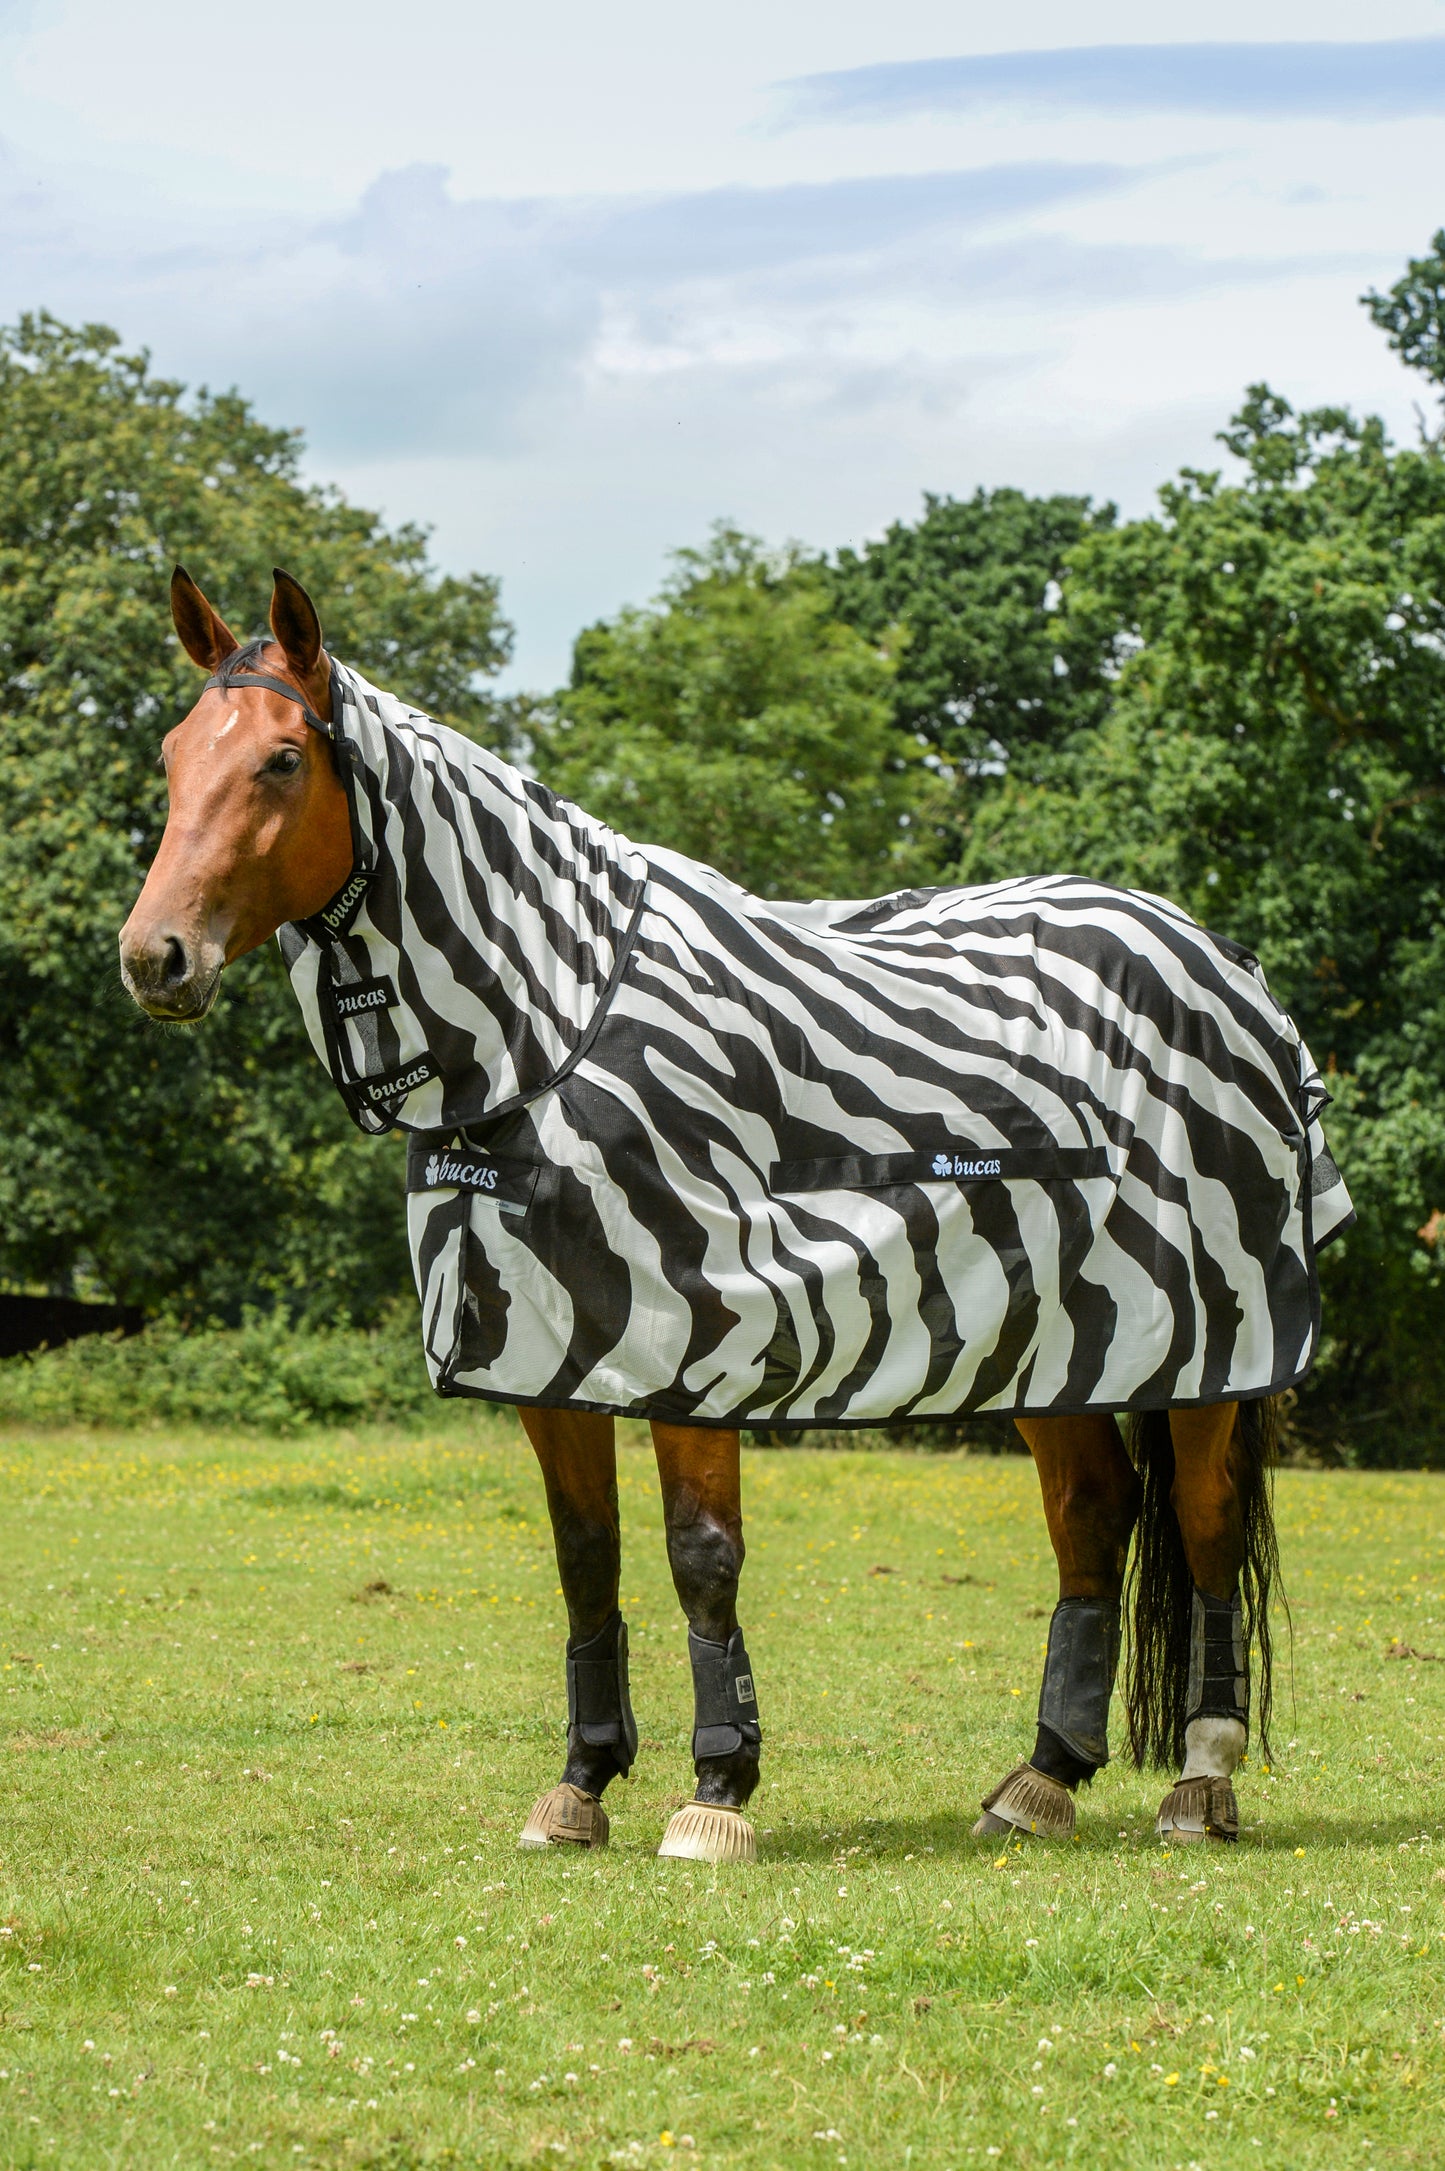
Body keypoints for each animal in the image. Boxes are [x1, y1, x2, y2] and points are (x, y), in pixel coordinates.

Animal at [119, 567, 1351, 1861]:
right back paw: (1040, 1777)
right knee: (1093, 1509)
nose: (155, 957)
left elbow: (700, 1557)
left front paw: (716, 1790)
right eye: (172, 757)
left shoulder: (695, 1334)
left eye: (280, 760)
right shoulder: (550, 1351)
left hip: (1211, 1342)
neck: (554, 1020)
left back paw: (1198, 1784)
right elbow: (586, 1559)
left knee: (1205, 1525)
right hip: (1053, 1332)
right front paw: (581, 1782)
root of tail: (1226, 964)